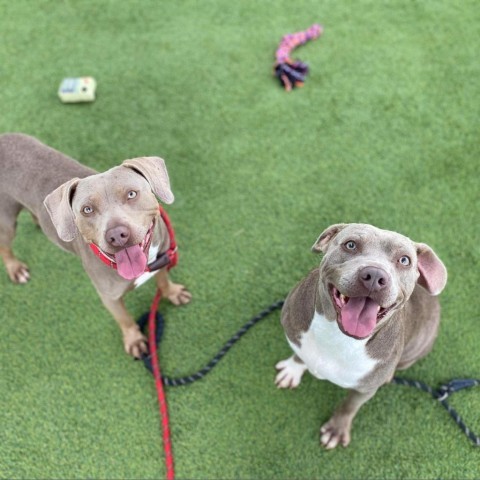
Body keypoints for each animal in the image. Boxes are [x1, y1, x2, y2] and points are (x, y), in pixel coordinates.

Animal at [0, 133, 191, 358]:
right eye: (87, 209)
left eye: (132, 194)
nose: (116, 235)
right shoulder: (110, 298)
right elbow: (124, 319)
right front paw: (134, 340)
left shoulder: (162, 259)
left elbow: (163, 280)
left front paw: (173, 293)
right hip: (6, 221)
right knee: (5, 246)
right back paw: (15, 268)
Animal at [276, 223, 448, 448]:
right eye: (350, 245)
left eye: (404, 260)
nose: (374, 276)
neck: (338, 336)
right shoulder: (296, 336)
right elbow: (299, 354)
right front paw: (293, 369)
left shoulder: (365, 389)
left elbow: (349, 406)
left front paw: (336, 429)